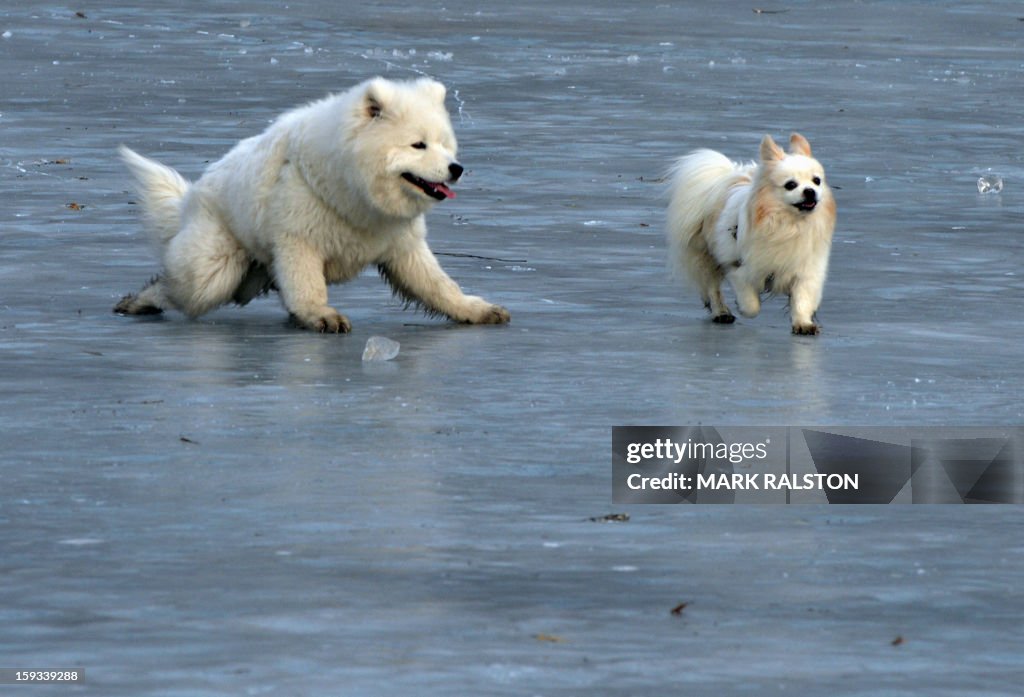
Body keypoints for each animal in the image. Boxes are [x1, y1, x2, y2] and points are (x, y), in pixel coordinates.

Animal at [117, 77, 512, 333]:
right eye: (418, 145)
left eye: (445, 145)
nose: (456, 169)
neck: (350, 184)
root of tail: (190, 197)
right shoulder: (298, 238)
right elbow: (307, 286)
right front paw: (322, 316)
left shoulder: (402, 244)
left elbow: (439, 285)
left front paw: (478, 310)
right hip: (217, 266)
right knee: (181, 286)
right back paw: (136, 302)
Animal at [667, 134, 835, 337]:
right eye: (791, 185)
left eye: (816, 181)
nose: (810, 191)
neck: (790, 225)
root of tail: (724, 180)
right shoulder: (739, 268)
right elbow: (751, 306)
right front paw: (742, 307)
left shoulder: (806, 271)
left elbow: (802, 300)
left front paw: (803, 323)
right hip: (706, 257)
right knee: (712, 288)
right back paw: (721, 312)